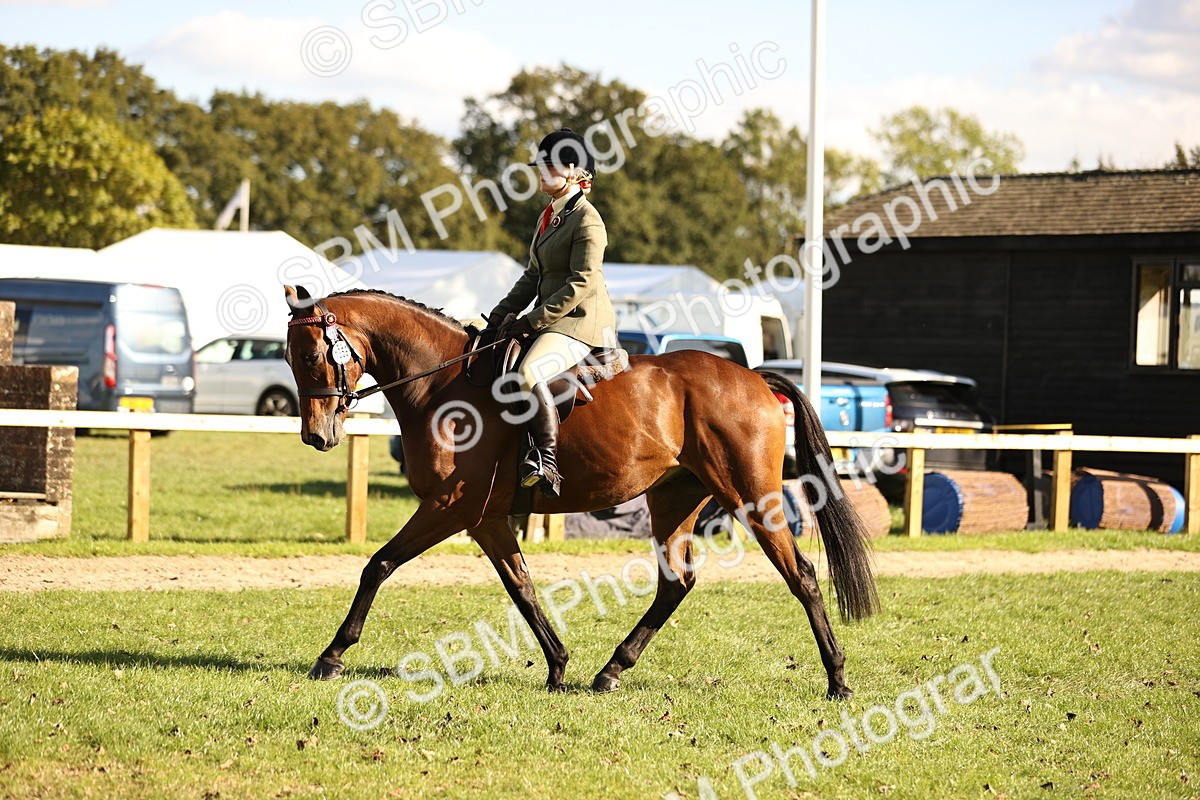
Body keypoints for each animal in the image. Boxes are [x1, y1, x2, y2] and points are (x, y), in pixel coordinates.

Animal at [282, 285, 878, 699]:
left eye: (311, 357)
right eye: (289, 358)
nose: (316, 435)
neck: (442, 385)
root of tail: (754, 377)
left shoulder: (450, 508)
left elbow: (378, 565)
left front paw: (332, 656)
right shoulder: (486, 518)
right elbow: (522, 588)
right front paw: (557, 665)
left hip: (752, 498)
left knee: (801, 575)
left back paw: (838, 679)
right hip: (674, 500)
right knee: (676, 582)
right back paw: (611, 670)